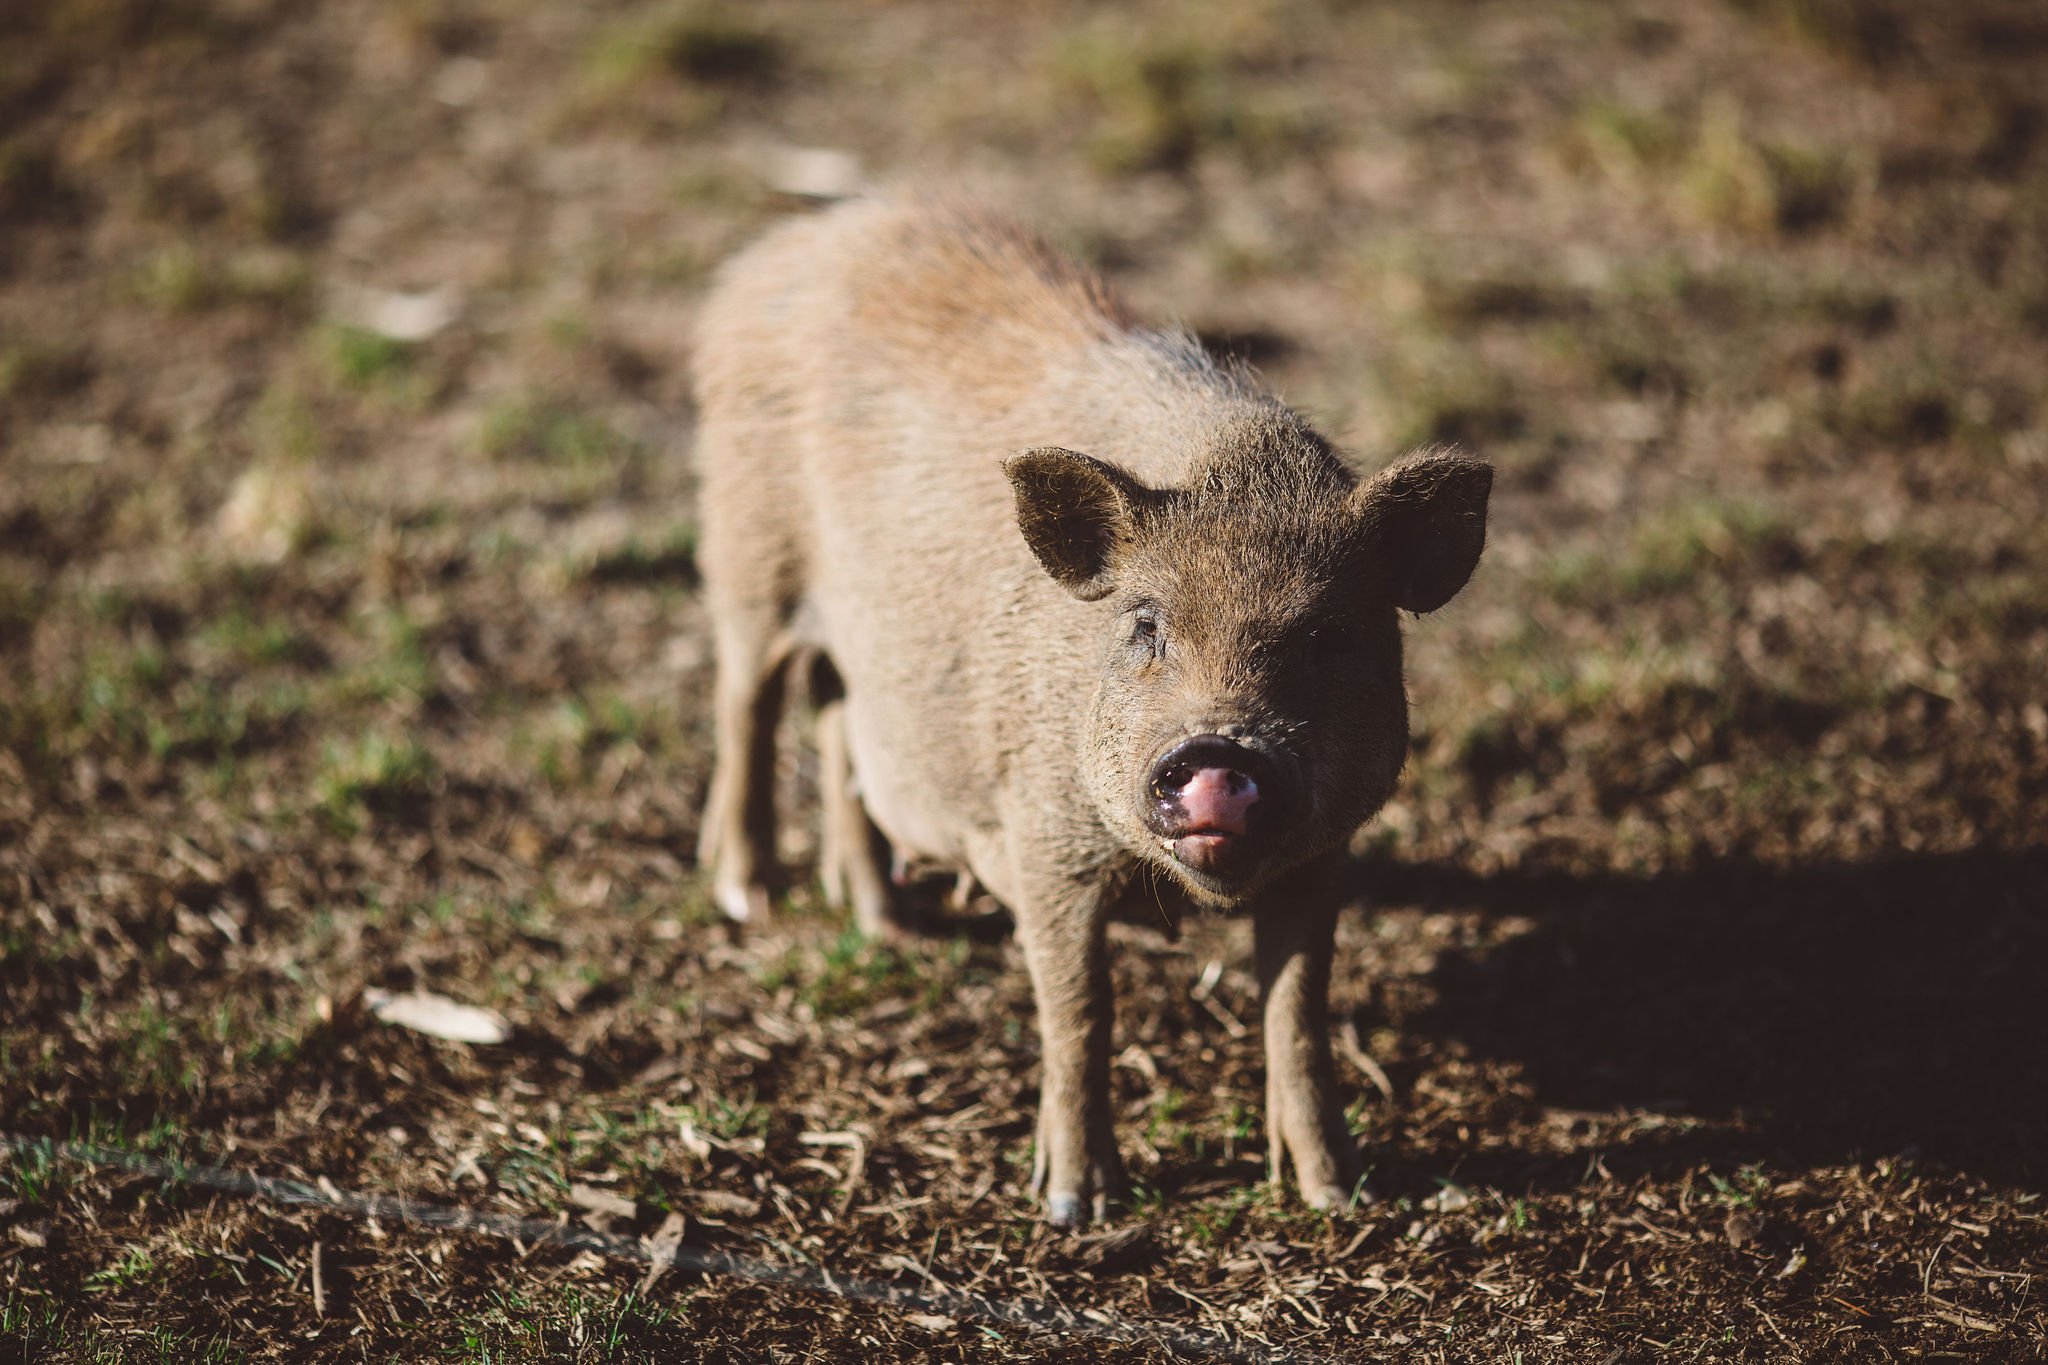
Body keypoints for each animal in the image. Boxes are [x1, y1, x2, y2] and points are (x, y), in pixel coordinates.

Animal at [691, 199, 1490, 1225]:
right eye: (1145, 622)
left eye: (1332, 633)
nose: (1221, 752)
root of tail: (796, 238)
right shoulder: (1043, 839)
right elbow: (1080, 1008)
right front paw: (1076, 1205)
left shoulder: (1325, 853)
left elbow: (1298, 1011)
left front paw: (1335, 1194)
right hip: (746, 549)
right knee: (744, 701)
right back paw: (748, 896)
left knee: (838, 731)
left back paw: (890, 923)